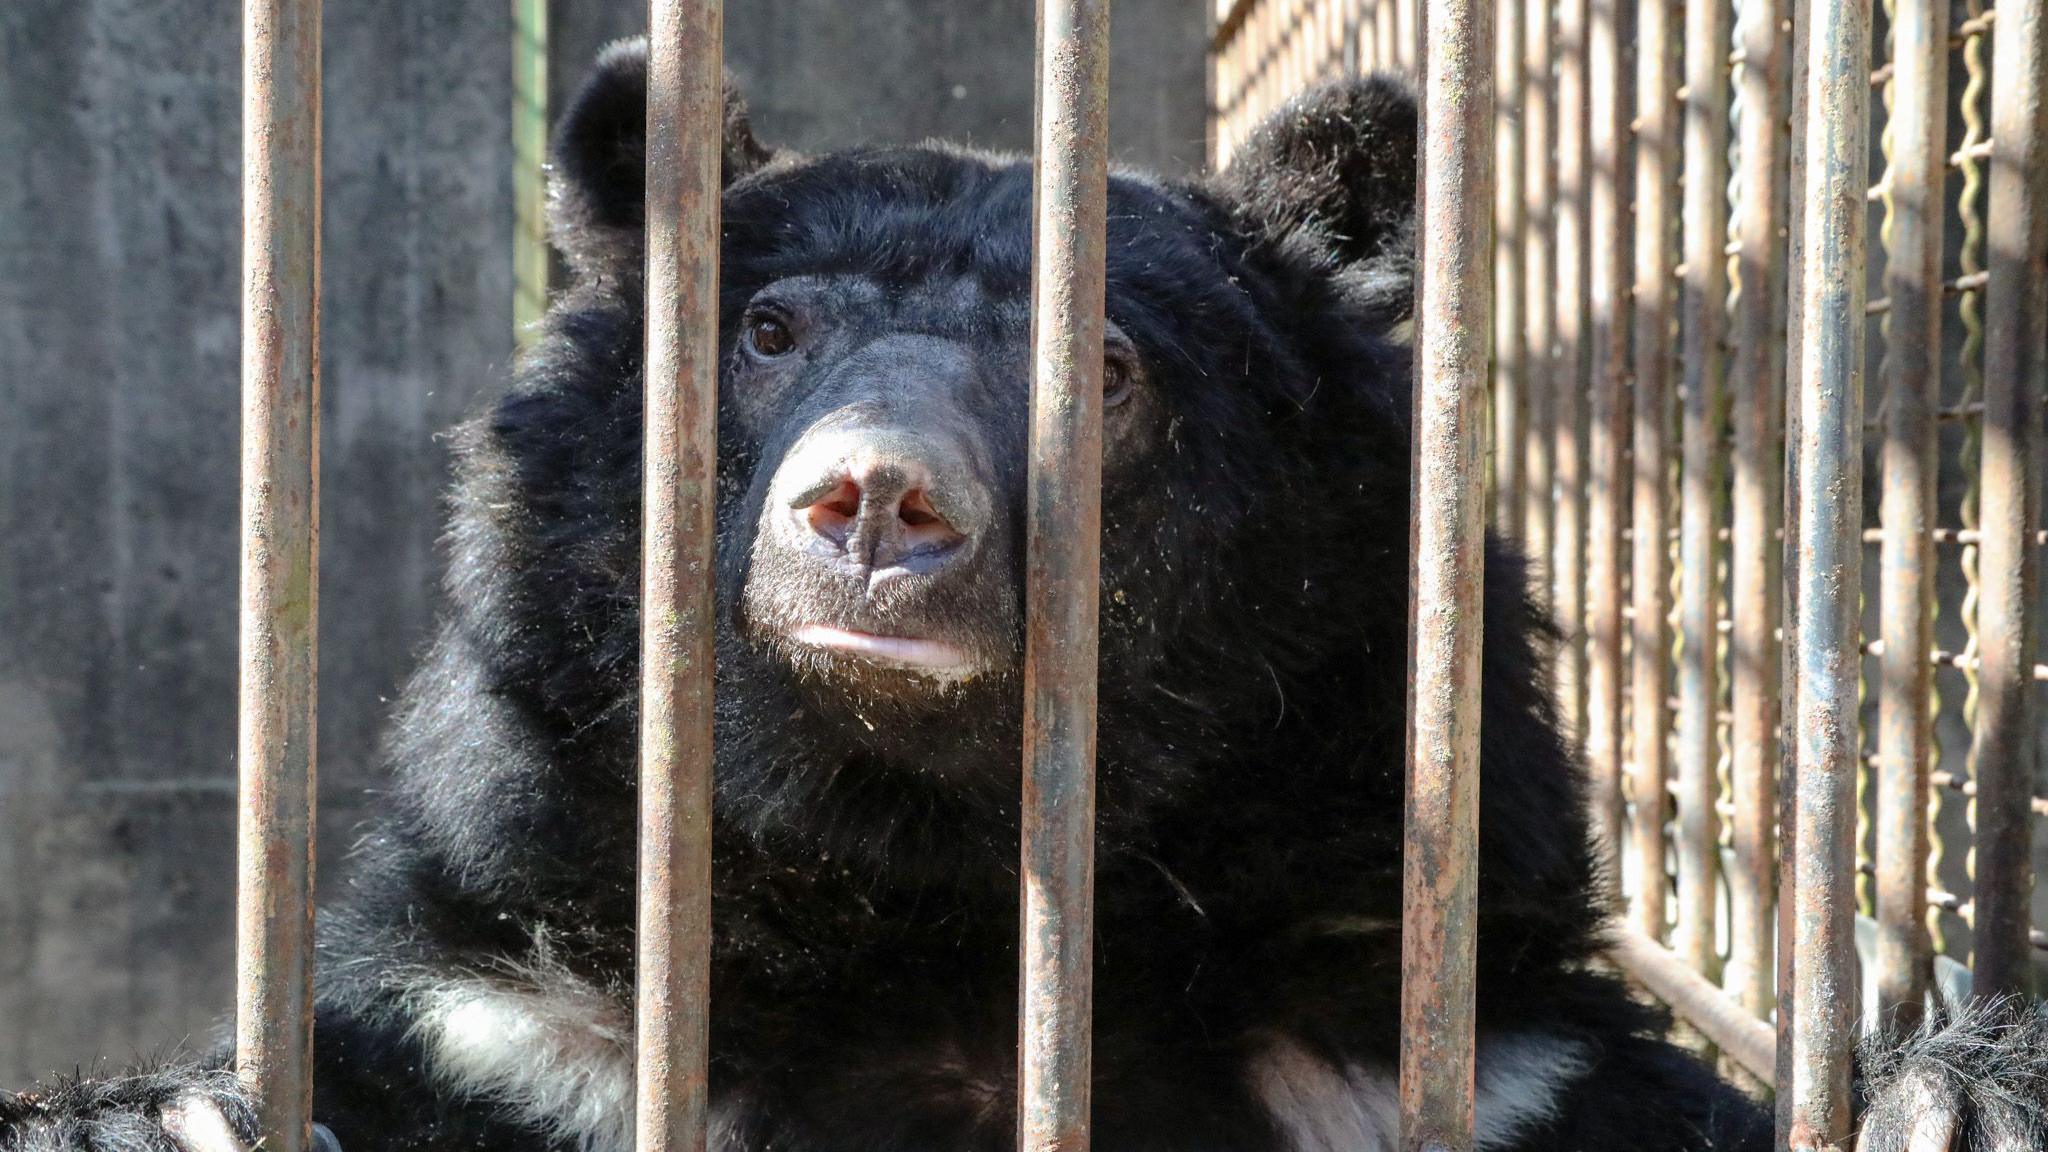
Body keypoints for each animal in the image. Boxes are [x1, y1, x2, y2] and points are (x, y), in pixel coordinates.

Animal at [5, 37, 2046, 1152]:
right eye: (768, 331)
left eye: (1110, 369)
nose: (872, 501)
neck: (936, 884)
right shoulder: (528, 1028)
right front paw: (137, 1112)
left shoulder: (1454, 1058)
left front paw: (1951, 1089)